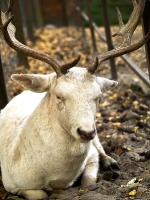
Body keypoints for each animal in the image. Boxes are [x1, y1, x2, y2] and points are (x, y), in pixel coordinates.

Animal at [0, 0, 149, 200]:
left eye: (98, 96)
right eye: (59, 95)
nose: (86, 132)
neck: (58, 177)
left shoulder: (91, 155)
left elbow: (88, 182)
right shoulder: (10, 182)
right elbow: (40, 195)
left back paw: (111, 162)